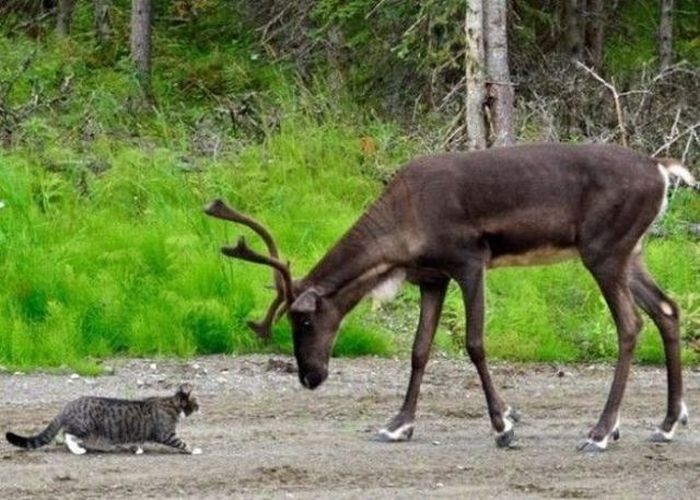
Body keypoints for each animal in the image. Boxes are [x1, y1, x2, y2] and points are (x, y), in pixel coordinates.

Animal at [5, 380, 201, 456]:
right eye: (196, 401)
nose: (201, 406)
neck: (172, 404)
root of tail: (68, 405)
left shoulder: (142, 432)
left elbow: (139, 440)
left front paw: (138, 449)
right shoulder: (166, 433)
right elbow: (181, 442)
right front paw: (193, 450)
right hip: (84, 426)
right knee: (67, 434)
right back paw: (78, 449)